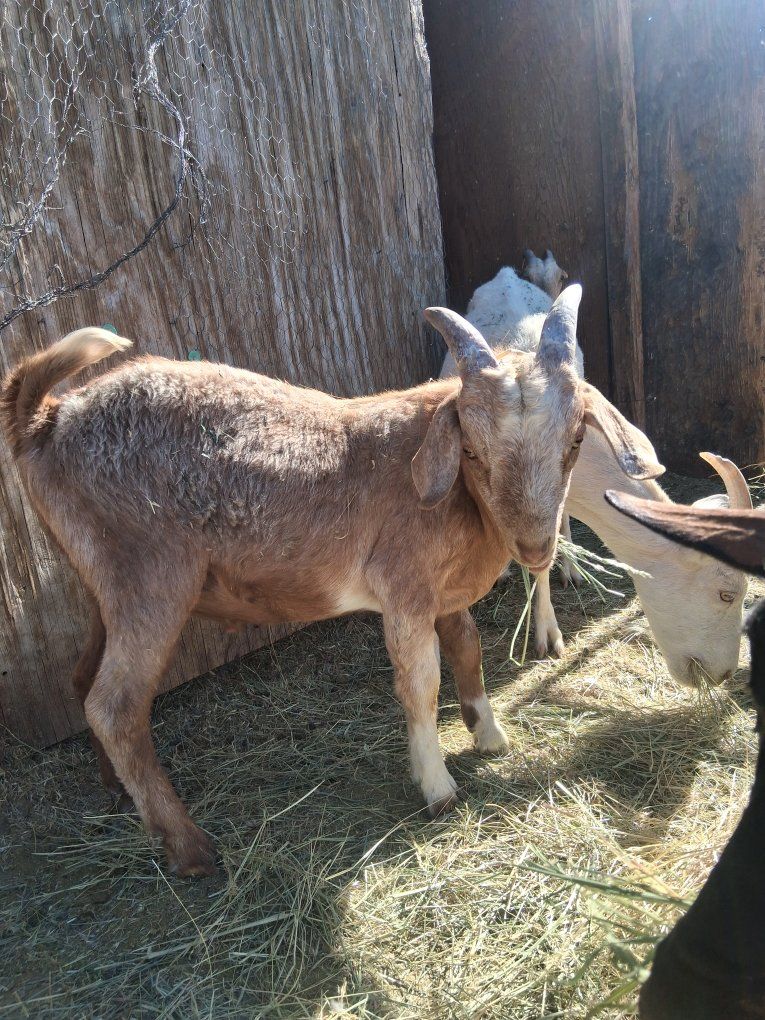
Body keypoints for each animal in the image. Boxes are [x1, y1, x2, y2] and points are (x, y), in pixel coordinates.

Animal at [0, 291, 661, 876]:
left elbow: (468, 649)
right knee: (114, 706)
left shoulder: (440, 594)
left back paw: (118, 792)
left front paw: (490, 733)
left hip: (102, 582)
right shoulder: (404, 592)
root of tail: (45, 419)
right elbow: (421, 685)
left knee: (83, 680)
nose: (535, 547)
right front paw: (437, 785)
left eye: (577, 438)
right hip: (149, 576)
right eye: (471, 450)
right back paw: (189, 848)